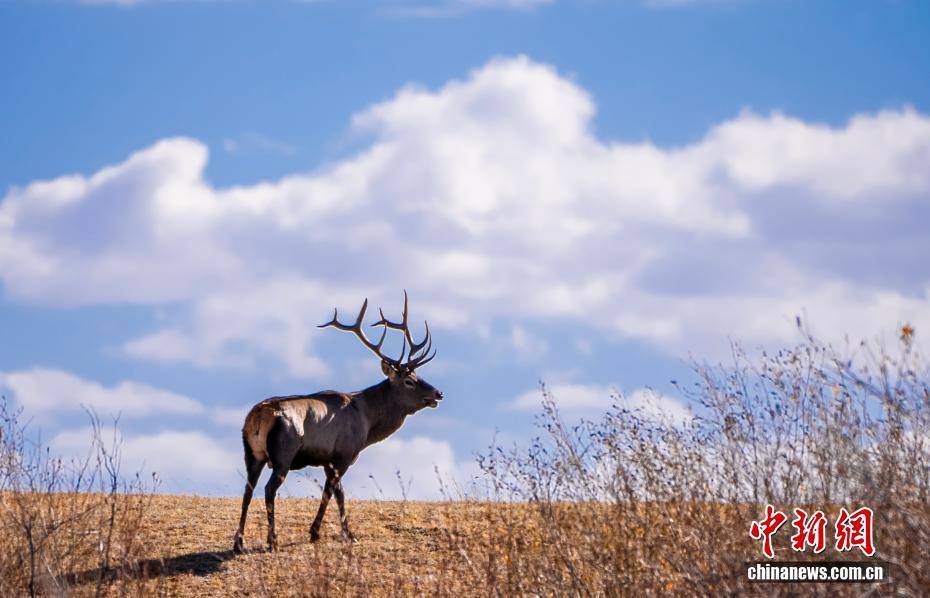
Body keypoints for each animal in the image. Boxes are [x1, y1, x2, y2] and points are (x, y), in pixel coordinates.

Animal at [232, 293, 443, 553]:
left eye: (417, 376)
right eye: (408, 381)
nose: (438, 393)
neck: (367, 421)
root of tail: (259, 416)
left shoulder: (327, 460)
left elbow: (337, 493)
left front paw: (338, 533)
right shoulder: (344, 454)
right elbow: (331, 492)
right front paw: (323, 533)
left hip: (253, 454)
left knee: (247, 489)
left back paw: (239, 543)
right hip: (283, 452)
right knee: (269, 490)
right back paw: (273, 541)